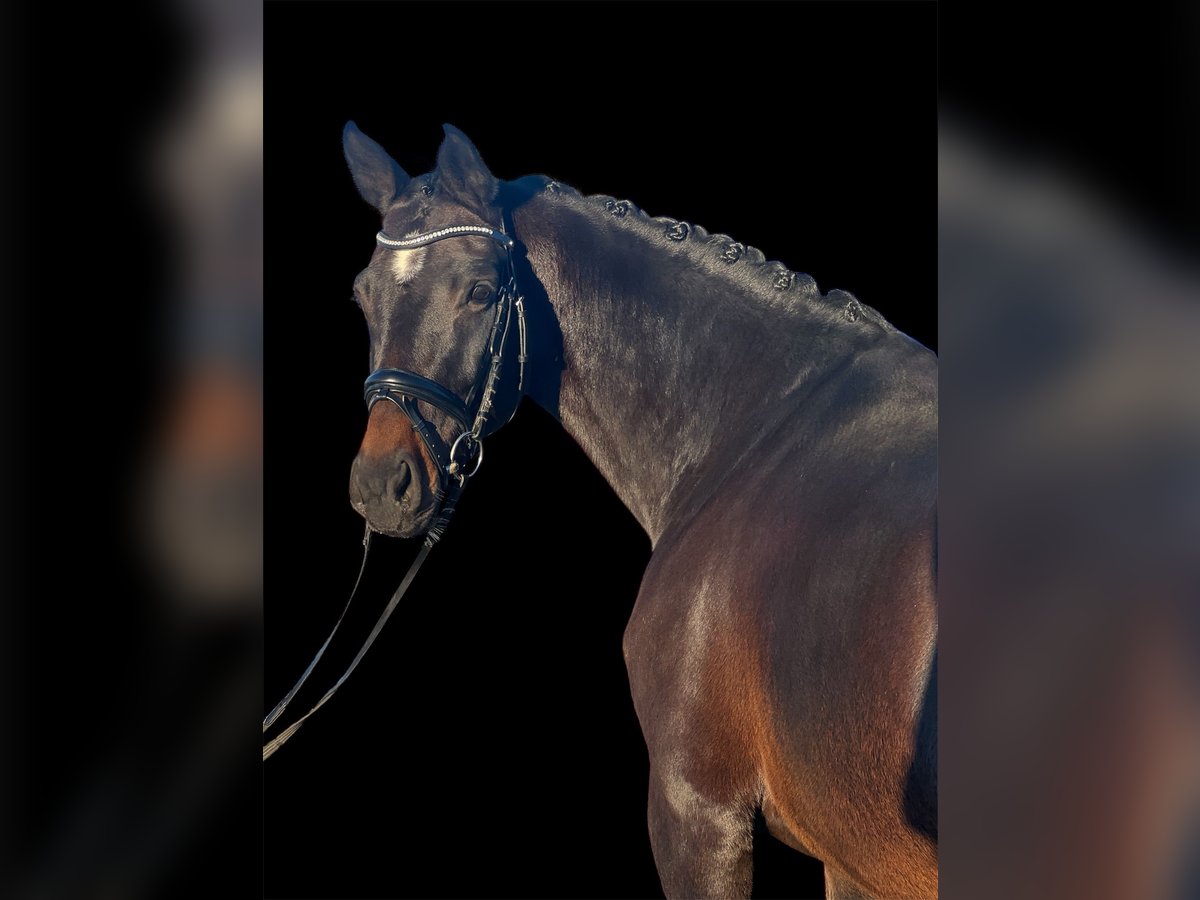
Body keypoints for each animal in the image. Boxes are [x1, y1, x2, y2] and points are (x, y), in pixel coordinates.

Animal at [340, 122, 938, 899]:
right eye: (363, 296)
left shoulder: (696, 810)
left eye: (481, 291)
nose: (381, 484)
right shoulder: (853, 859)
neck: (762, 424)